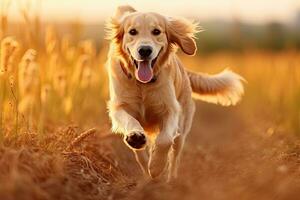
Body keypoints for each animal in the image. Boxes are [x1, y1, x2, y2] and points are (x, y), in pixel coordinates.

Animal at [105, 5, 244, 181]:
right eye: (132, 31)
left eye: (156, 31)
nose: (145, 50)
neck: (142, 84)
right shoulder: (119, 107)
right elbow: (130, 121)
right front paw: (136, 137)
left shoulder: (171, 109)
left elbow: (164, 140)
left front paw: (157, 166)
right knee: (141, 154)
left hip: (182, 131)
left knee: (175, 157)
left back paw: (170, 180)